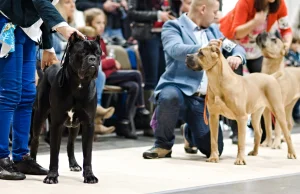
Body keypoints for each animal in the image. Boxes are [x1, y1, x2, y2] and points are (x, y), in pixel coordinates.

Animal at [30, 32, 102, 184]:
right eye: (83, 52)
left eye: (98, 53)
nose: (92, 59)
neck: (79, 83)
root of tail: (47, 69)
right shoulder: (56, 124)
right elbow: (54, 153)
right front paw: (51, 176)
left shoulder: (88, 124)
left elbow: (87, 154)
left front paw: (89, 175)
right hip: (39, 115)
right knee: (35, 139)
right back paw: (32, 162)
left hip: (74, 125)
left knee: (70, 143)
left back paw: (74, 164)